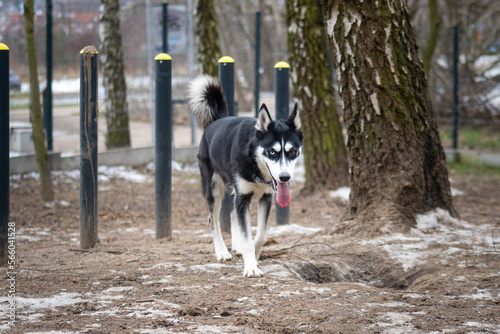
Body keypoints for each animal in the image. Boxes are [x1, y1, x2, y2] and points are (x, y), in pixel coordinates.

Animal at [188, 75, 302, 276]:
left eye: (292, 152)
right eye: (272, 152)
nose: (284, 177)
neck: (254, 161)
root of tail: (217, 120)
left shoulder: (265, 198)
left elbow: (261, 235)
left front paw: (254, 255)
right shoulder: (243, 198)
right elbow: (247, 235)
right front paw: (251, 267)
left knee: (233, 214)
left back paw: (237, 246)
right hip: (214, 190)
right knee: (212, 219)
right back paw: (222, 251)